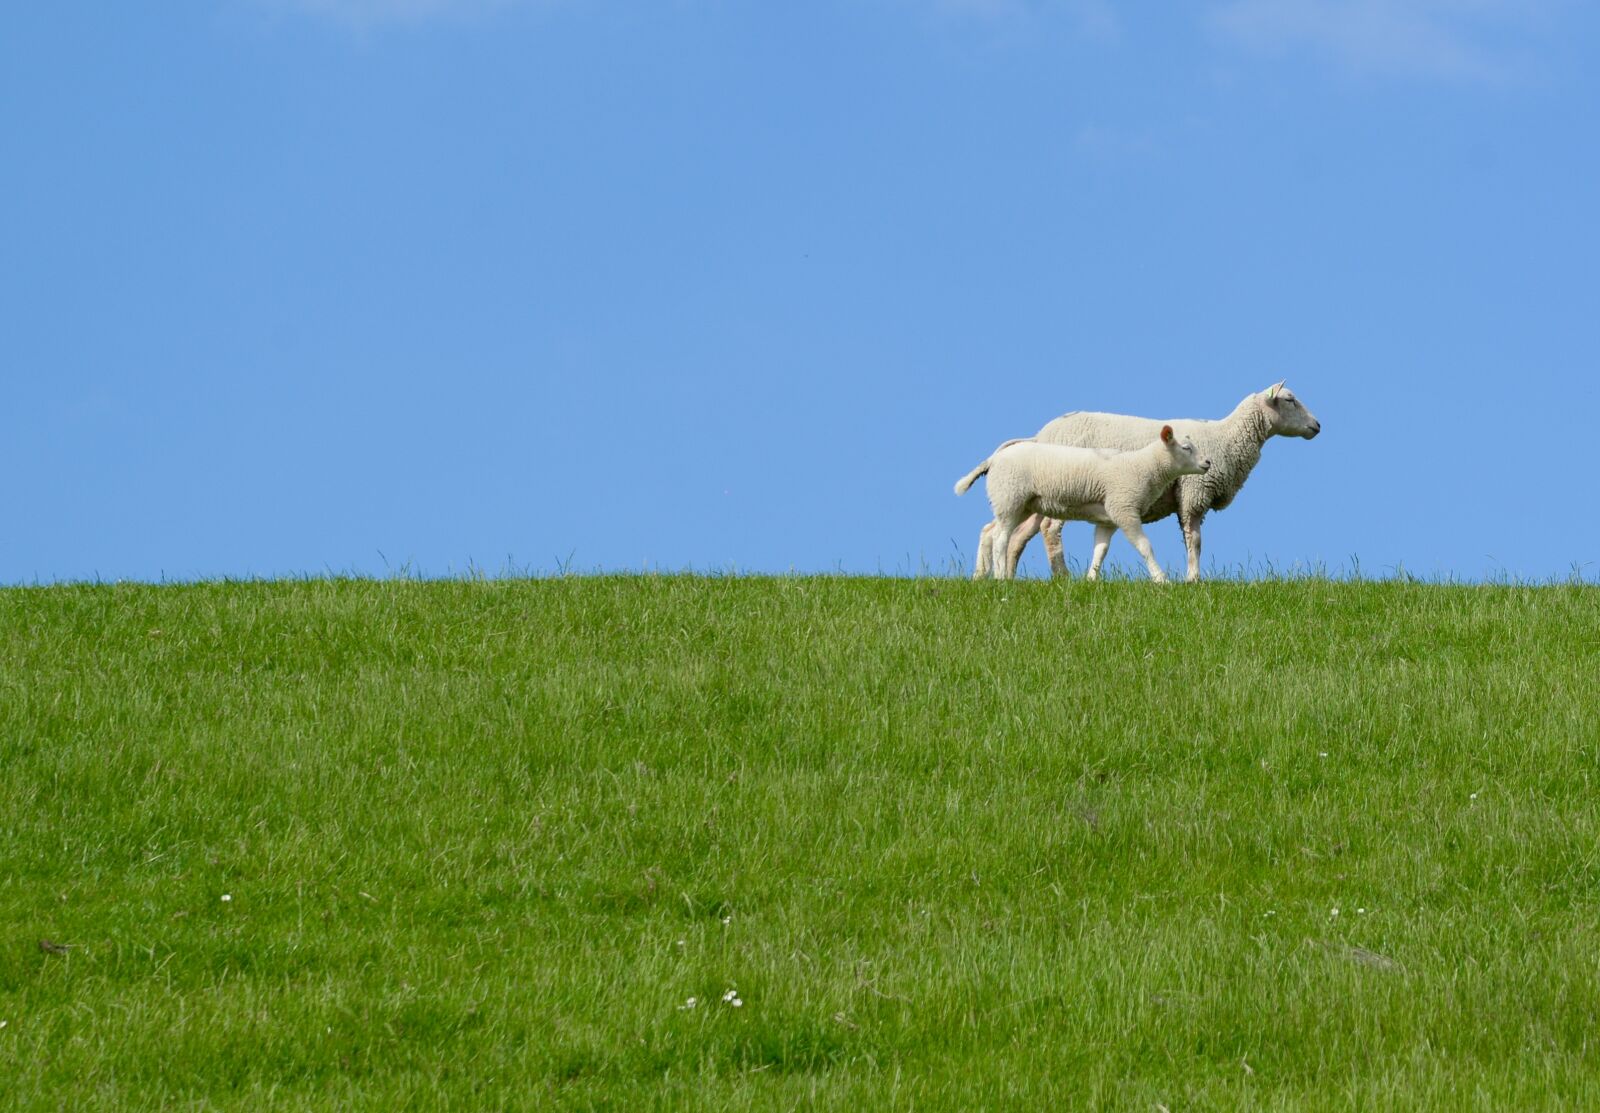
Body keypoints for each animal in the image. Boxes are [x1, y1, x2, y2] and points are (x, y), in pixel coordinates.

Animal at [955, 425, 1212, 582]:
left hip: (1019, 504)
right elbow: (1145, 547)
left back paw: (980, 575)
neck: (1144, 466)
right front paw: (1161, 579)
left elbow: (1100, 550)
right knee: (1001, 538)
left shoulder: (1109, 518)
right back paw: (1000, 577)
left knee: (989, 532)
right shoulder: (1124, 509)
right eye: (1186, 448)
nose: (1208, 462)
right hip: (1010, 497)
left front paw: (1091, 579)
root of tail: (993, 459)